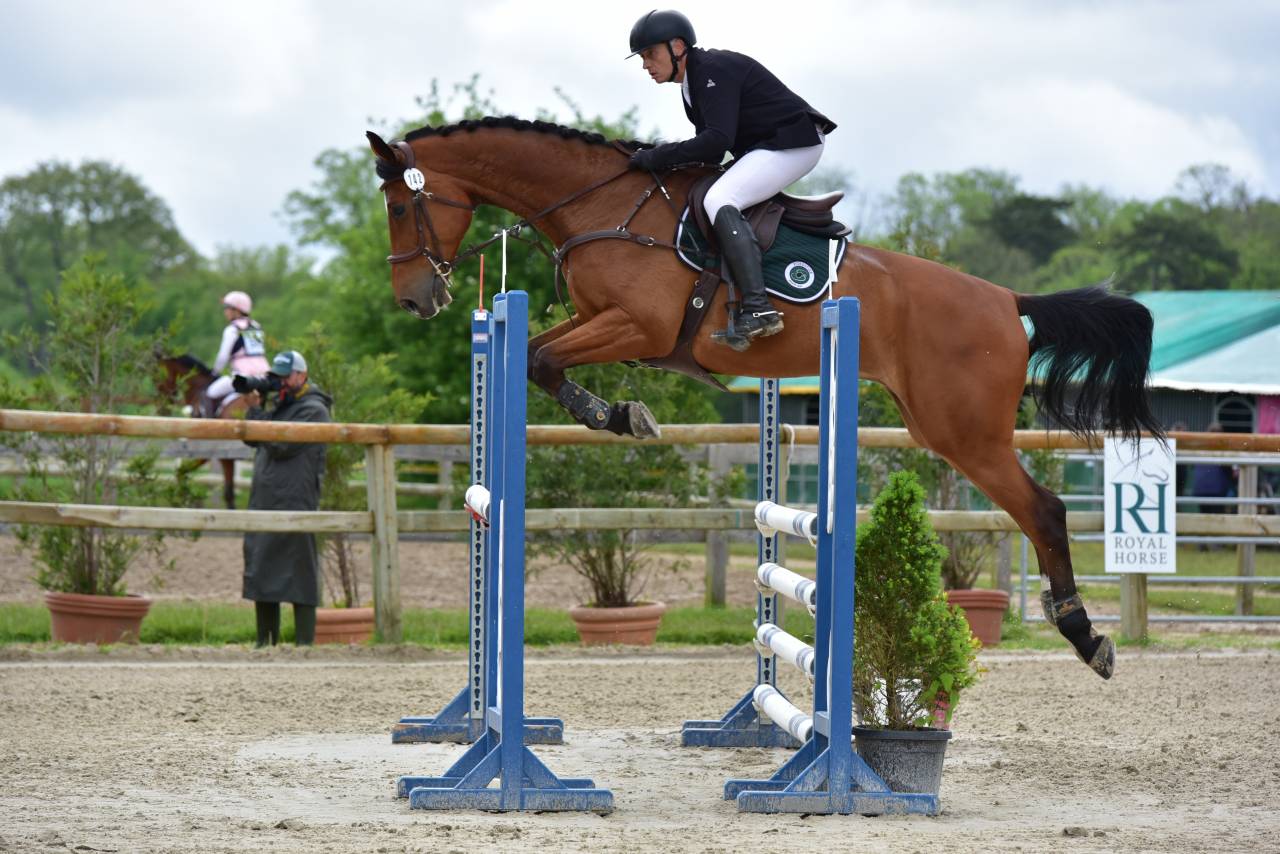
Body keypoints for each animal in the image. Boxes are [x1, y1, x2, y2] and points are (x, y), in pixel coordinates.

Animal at [155, 354, 247, 509]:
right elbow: (229, 493)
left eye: (157, 379)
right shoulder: (227, 457)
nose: (162, 410)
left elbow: (182, 471)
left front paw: (188, 500)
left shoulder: (207, 451)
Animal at [366, 116, 1164, 680]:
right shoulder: (602, 320)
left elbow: (537, 357)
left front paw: (617, 415)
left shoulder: (638, 325)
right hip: (938, 427)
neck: (605, 204)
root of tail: (1008, 300)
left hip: (963, 433)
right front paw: (619, 415)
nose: (414, 299)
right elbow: (540, 356)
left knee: (1044, 510)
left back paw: (1086, 637)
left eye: (402, 207)